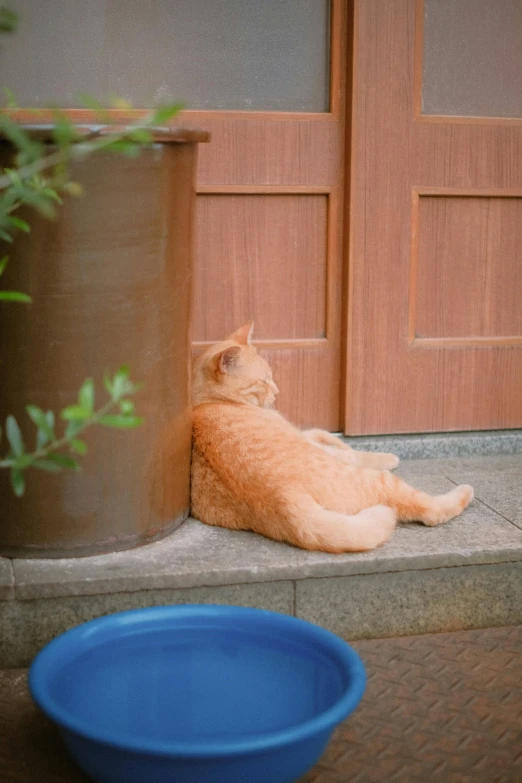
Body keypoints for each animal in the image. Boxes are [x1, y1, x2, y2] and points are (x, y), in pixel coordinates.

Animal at [190, 322, 472, 556]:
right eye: (263, 381)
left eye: (271, 376)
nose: (277, 391)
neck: (209, 401)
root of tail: (284, 497)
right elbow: (353, 453)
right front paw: (386, 455)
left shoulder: (300, 432)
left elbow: (321, 433)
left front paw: (338, 439)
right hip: (379, 482)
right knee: (428, 510)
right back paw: (463, 492)